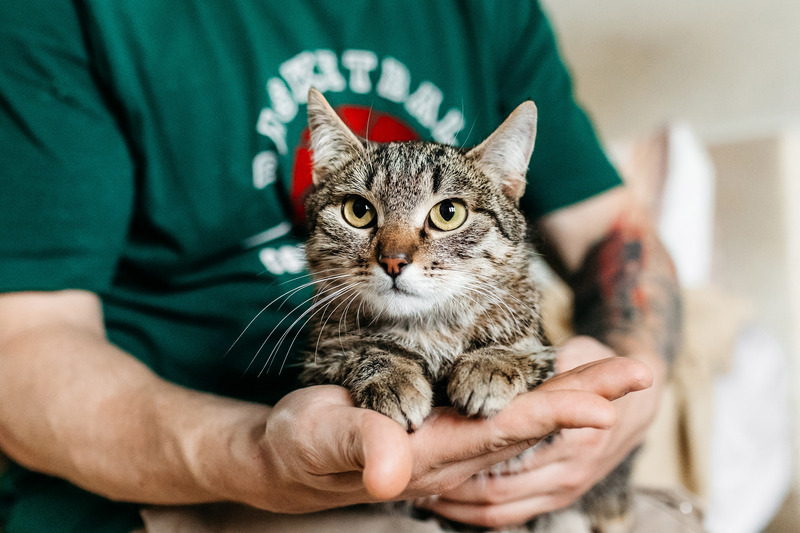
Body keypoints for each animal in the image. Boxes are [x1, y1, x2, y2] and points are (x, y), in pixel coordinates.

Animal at [296, 89, 628, 528]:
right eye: (358, 211)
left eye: (448, 213)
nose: (393, 260)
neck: (429, 327)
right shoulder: (316, 364)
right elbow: (365, 351)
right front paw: (393, 377)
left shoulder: (542, 354)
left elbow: (516, 352)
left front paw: (488, 367)